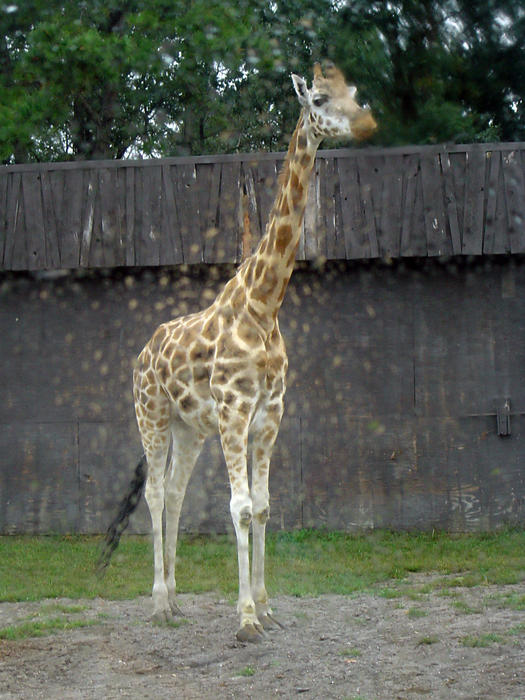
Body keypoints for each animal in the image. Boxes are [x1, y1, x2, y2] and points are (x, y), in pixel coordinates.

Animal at [99, 63, 376, 644]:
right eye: (319, 99)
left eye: (354, 93)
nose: (364, 124)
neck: (264, 304)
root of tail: (141, 354)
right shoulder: (234, 410)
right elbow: (241, 507)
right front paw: (246, 618)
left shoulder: (270, 411)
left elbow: (265, 507)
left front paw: (268, 610)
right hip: (152, 415)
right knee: (155, 494)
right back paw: (157, 603)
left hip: (189, 429)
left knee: (175, 494)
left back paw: (175, 599)